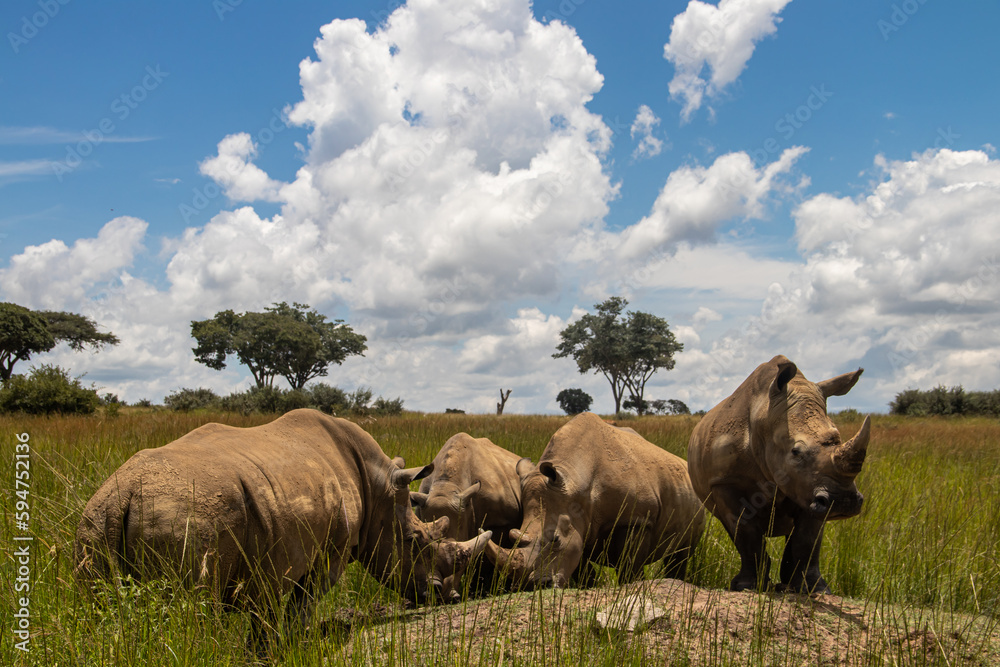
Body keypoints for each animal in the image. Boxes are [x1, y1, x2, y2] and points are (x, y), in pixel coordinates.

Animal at [73, 410, 488, 648]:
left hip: (96, 522)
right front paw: (289, 644)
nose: (446, 595)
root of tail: (123, 492)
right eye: (416, 541)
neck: (379, 489)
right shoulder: (329, 554)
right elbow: (299, 605)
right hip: (184, 517)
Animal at [482, 412, 704, 588]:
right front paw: (588, 586)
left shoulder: (636, 519)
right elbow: (581, 566)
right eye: (513, 537)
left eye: (555, 539)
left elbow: (629, 565)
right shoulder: (580, 523)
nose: (535, 586)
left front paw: (632, 586)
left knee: (680, 555)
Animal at [688, 354, 868, 596]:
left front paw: (815, 590)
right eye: (795, 452)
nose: (843, 503)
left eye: (838, 440)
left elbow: (807, 538)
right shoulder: (725, 482)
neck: (763, 415)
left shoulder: (807, 487)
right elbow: (746, 530)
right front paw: (747, 586)